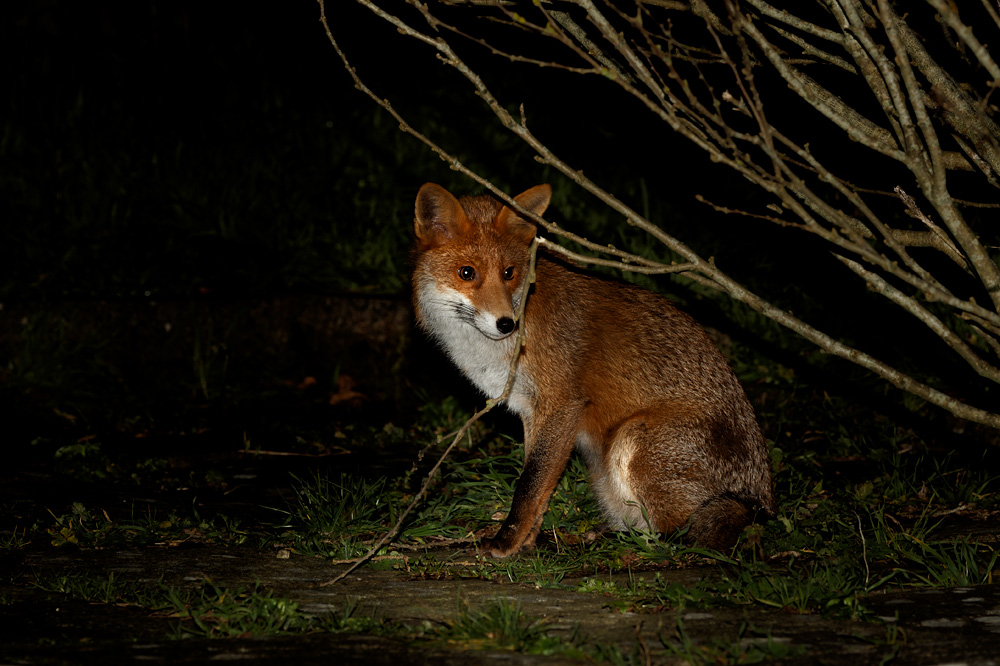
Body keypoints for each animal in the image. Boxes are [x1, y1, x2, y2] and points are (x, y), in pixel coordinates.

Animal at [412, 182, 775, 557]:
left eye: (509, 273)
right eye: (466, 273)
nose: (506, 324)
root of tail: (759, 506)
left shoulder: (561, 404)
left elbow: (529, 484)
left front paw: (506, 542)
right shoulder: (532, 411)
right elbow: (538, 487)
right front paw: (527, 541)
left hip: (631, 440)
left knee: (675, 539)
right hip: (606, 477)